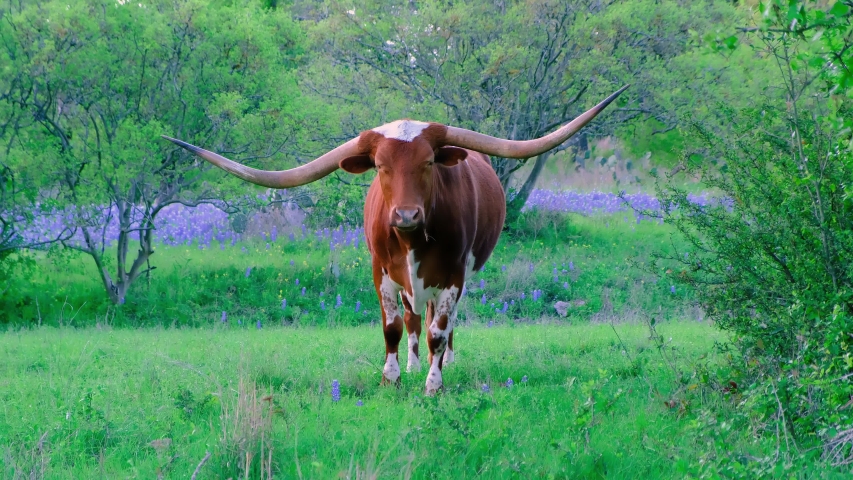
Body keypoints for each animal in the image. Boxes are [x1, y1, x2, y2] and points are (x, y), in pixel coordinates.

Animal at [163, 85, 624, 394]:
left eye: (428, 162)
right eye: (381, 166)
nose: (405, 214)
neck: (412, 241)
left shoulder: (454, 276)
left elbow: (441, 330)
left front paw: (434, 383)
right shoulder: (382, 272)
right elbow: (392, 328)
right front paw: (393, 377)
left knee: (443, 324)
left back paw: (443, 361)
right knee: (414, 319)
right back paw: (416, 361)